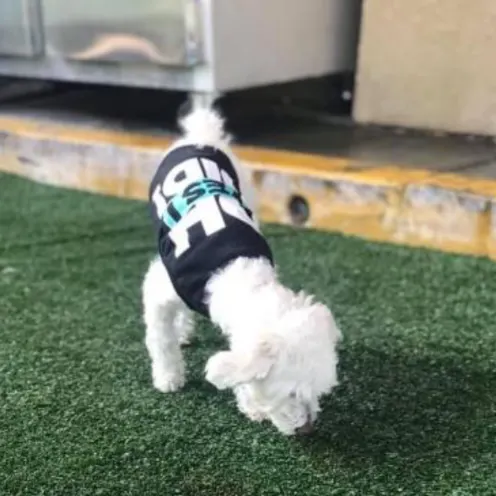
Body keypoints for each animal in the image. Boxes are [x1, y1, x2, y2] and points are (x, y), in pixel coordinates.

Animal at [141, 106, 340, 436]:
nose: (308, 428)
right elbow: (162, 340)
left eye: (318, 392)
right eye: (291, 394)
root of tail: (203, 135)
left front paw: (250, 406)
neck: (237, 272)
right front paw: (168, 377)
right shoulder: (160, 288)